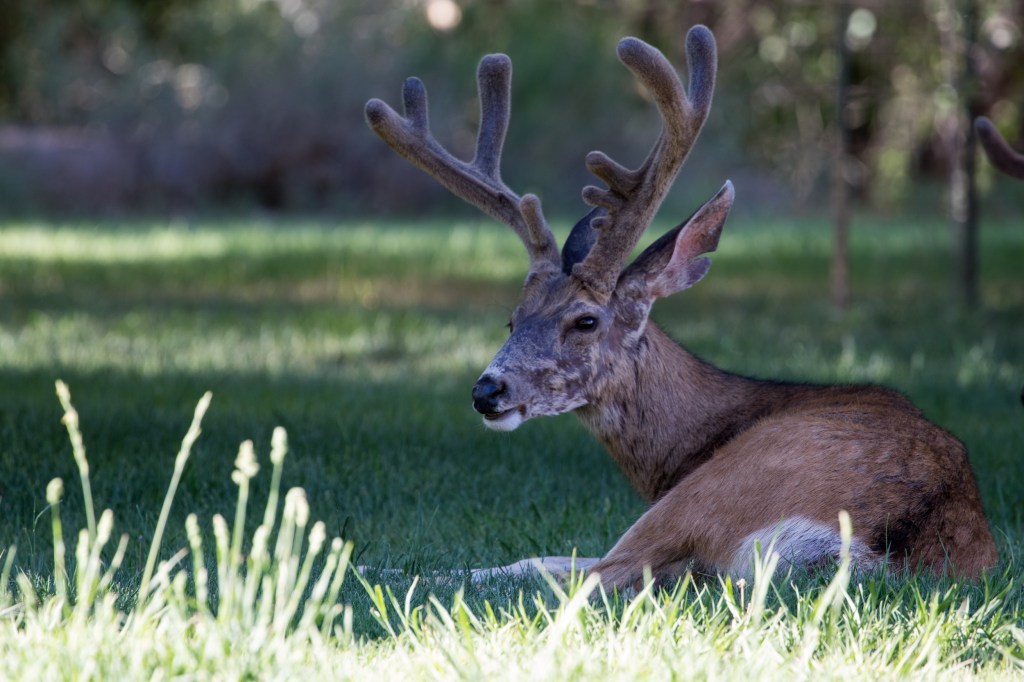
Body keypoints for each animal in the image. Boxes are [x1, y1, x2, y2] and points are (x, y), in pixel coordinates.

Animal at [364, 25, 998, 590]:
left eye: (585, 320)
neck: (690, 443)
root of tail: (879, 550)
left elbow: (551, 561)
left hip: (720, 488)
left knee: (594, 577)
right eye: (512, 319)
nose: (486, 391)